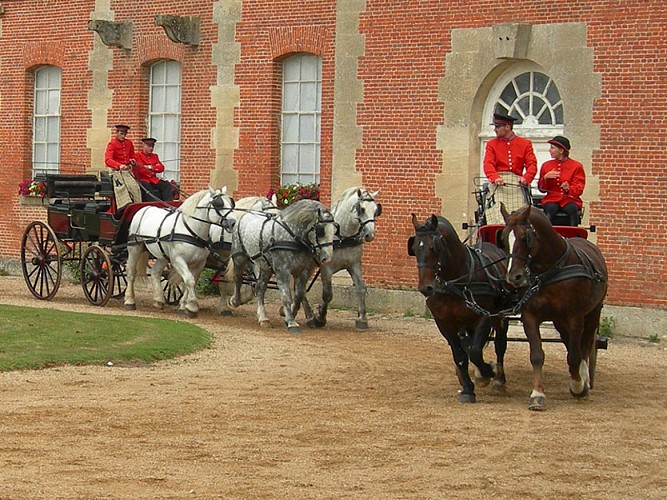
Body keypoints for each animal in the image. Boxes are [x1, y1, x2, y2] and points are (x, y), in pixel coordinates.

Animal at [124, 186, 237, 318]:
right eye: (218, 204)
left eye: (231, 204)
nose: (233, 223)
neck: (192, 231)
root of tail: (144, 208)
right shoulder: (178, 260)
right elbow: (189, 280)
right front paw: (192, 306)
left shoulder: (199, 263)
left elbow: (191, 281)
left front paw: (184, 306)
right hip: (134, 248)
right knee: (131, 273)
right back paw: (129, 301)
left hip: (163, 255)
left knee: (155, 272)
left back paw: (159, 300)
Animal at [302, 186, 380, 330]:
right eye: (361, 209)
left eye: (376, 210)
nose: (370, 235)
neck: (342, 236)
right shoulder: (326, 268)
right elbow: (327, 294)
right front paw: (320, 317)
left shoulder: (354, 265)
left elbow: (361, 288)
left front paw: (362, 319)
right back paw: (310, 317)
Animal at [408, 213, 512, 404]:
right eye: (414, 247)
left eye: (434, 247)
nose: (426, 288)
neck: (456, 281)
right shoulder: (444, 323)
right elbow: (461, 355)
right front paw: (468, 388)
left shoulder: (484, 317)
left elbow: (475, 351)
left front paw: (489, 372)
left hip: (500, 316)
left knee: (500, 345)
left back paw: (499, 380)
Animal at [504, 203, 608, 410]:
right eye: (503, 237)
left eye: (524, 237)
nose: (514, 277)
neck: (549, 271)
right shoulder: (530, 316)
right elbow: (537, 355)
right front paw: (537, 394)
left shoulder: (575, 317)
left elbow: (574, 356)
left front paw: (578, 386)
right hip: (560, 321)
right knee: (571, 344)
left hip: (592, 314)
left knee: (584, 346)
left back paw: (584, 379)